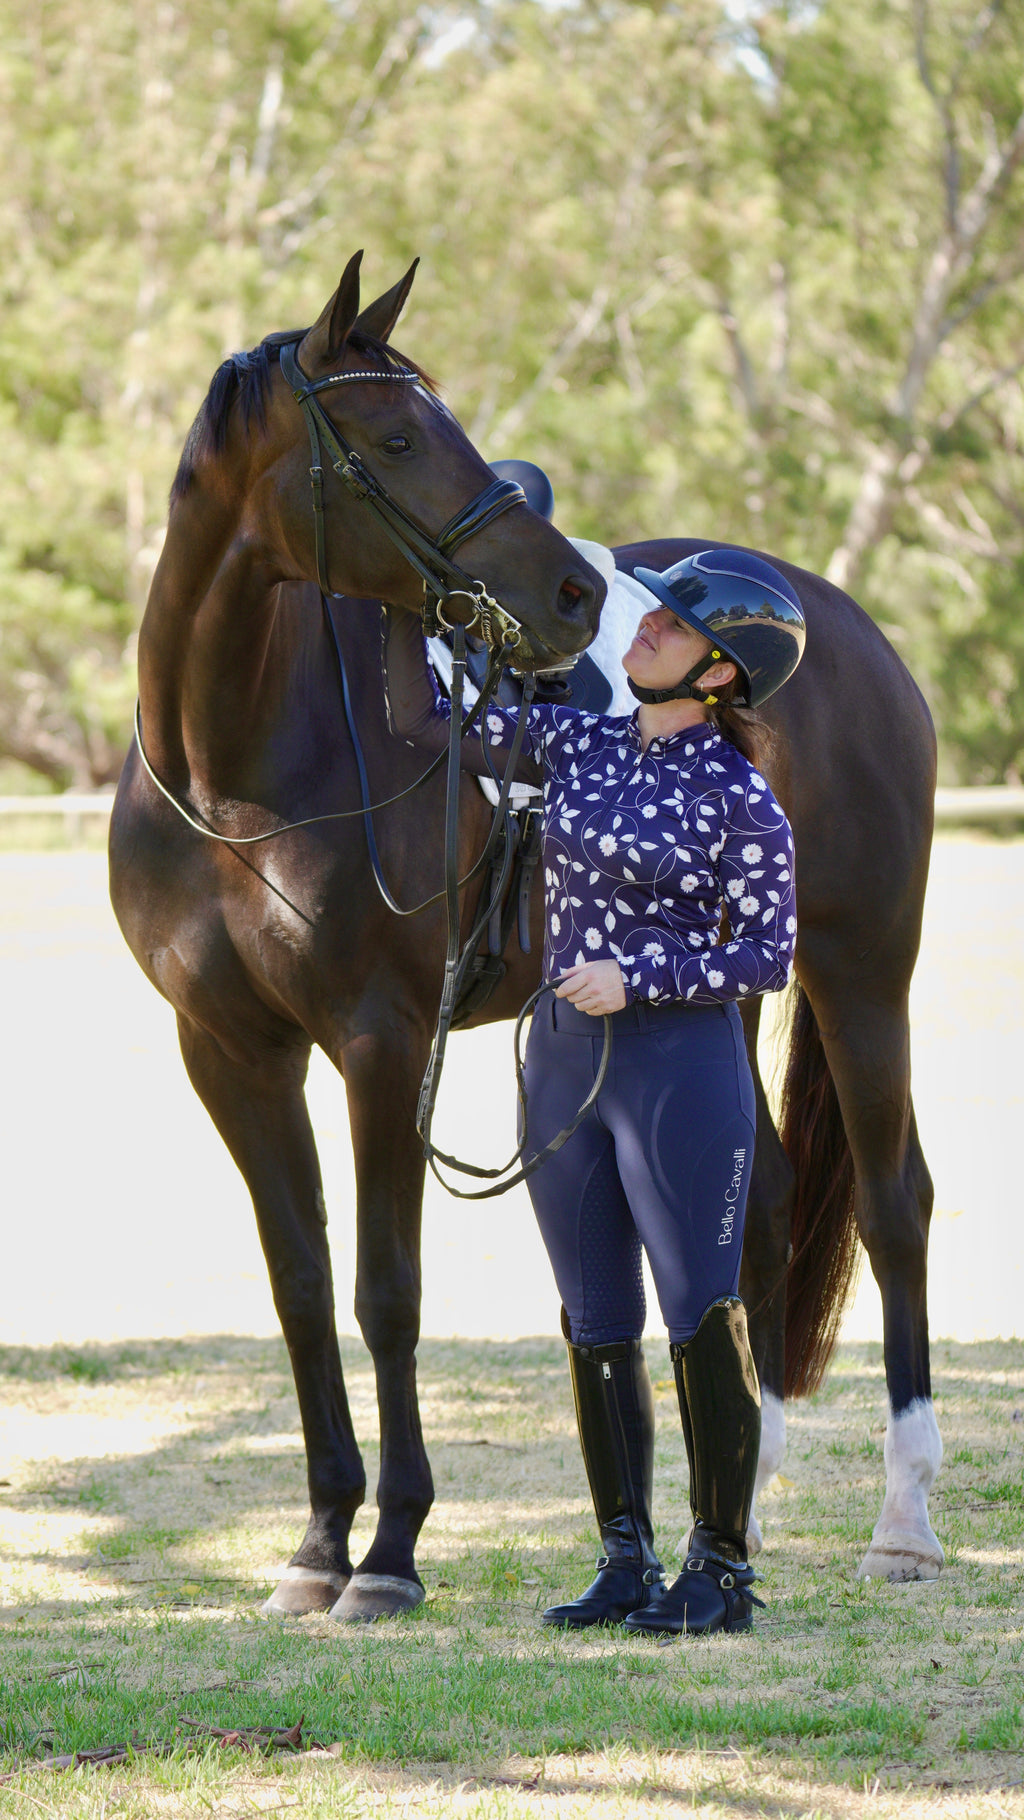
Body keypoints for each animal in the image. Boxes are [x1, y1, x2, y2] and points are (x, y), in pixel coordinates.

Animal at [109, 253, 942, 1624]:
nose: (572, 593)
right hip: (728, 991)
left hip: (858, 968)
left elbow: (386, 1290)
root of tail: (860, 637)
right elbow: (300, 1287)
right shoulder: (226, 1050)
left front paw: (389, 1552)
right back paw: (741, 1514)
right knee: (757, 1211)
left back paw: (904, 1523)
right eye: (396, 437)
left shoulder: (384, 1041)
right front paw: (317, 1542)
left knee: (894, 1204)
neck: (237, 775)